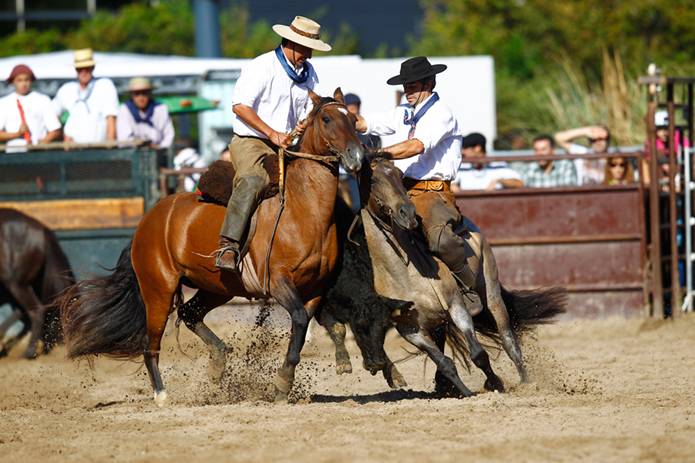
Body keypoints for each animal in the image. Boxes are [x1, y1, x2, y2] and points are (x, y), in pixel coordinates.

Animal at [60, 88, 364, 406]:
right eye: (327, 119)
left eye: (354, 120)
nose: (356, 156)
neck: (301, 208)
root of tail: (149, 220)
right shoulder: (278, 282)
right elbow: (300, 321)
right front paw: (282, 383)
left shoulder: (315, 288)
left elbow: (313, 326)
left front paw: (329, 364)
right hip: (158, 290)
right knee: (151, 341)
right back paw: (162, 394)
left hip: (217, 287)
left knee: (189, 313)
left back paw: (218, 362)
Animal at [318, 177, 567, 396]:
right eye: (357, 326)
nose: (374, 363)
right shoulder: (410, 329)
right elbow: (445, 362)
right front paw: (465, 390)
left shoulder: (456, 306)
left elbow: (478, 353)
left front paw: (495, 383)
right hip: (437, 322)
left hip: (492, 294)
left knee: (509, 340)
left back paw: (526, 382)